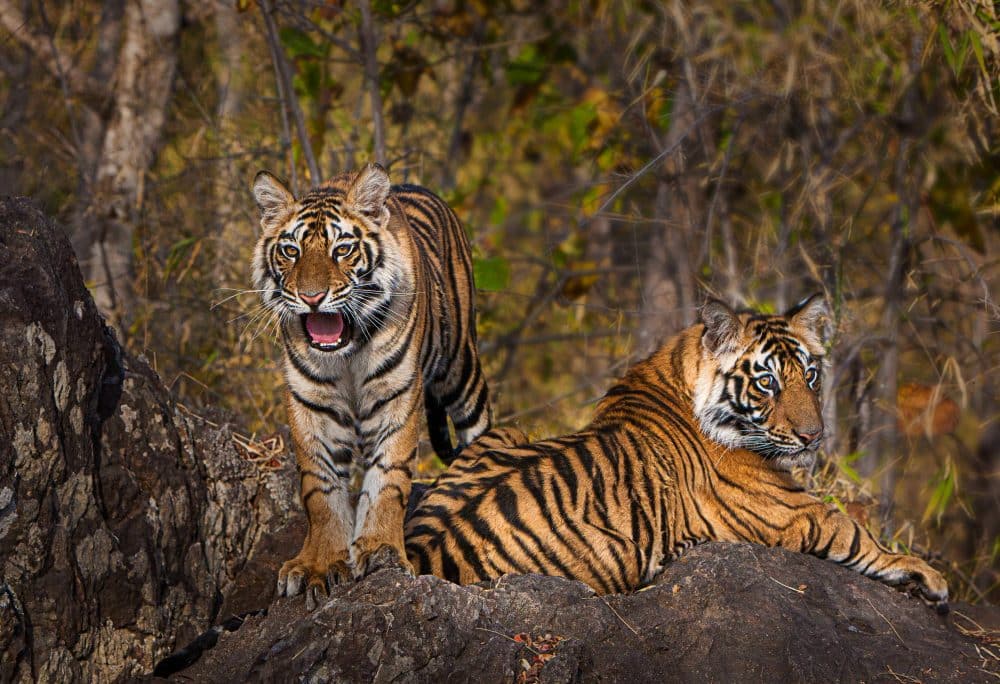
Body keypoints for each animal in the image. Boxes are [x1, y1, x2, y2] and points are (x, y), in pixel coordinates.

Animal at [251, 163, 491, 608]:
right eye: (291, 251)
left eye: (342, 249)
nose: (312, 297)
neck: (347, 352)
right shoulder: (311, 404)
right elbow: (320, 491)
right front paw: (318, 564)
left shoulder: (397, 397)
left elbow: (388, 479)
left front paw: (381, 550)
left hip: (461, 368)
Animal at [405, 295, 948, 608]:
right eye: (767, 382)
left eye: (811, 375)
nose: (813, 437)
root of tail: (420, 552)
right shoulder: (788, 509)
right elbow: (856, 532)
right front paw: (929, 577)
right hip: (619, 552)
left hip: (508, 434)